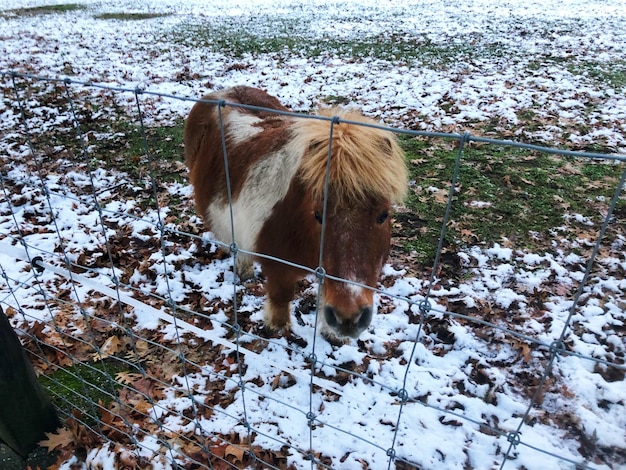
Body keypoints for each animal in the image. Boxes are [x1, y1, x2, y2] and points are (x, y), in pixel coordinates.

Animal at [182, 86, 404, 344]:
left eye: (383, 215)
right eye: (318, 215)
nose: (349, 319)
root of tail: (221, 92)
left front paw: (332, 334)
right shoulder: (277, 268)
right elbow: (281, 298)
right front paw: (277, 329)